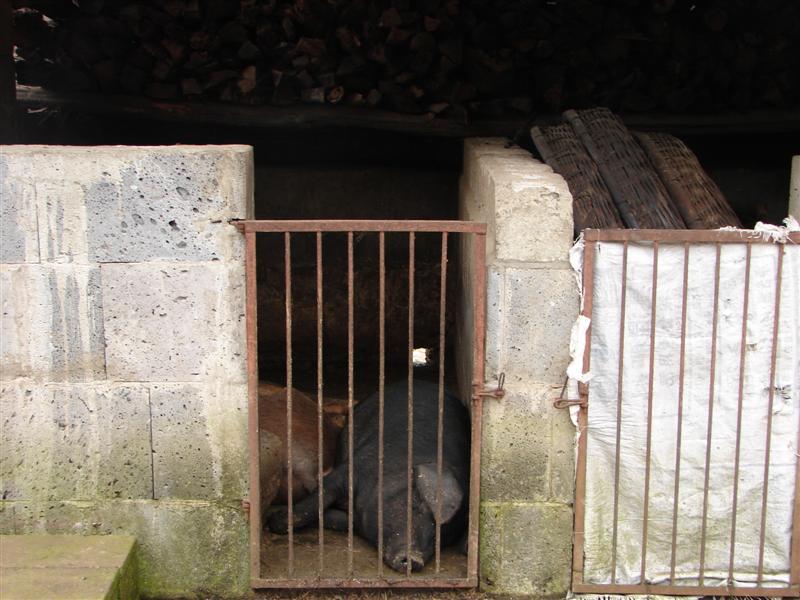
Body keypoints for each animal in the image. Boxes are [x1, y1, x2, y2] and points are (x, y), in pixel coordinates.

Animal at [268, 380, 468, 572]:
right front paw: (275, 520)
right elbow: (316, 500)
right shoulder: (352, 468)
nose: (414, 559)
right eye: (416, 504)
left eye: (441, 536)